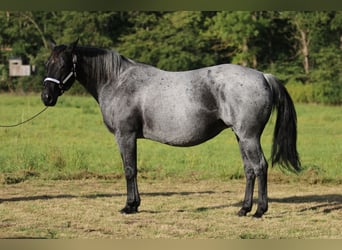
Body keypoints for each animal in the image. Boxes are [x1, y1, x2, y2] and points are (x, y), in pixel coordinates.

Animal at [42, 39, 300, 217]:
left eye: (64, 64)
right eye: (47, 63)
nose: (46, 97)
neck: (117, 81)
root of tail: (263, 76)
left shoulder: (125, 136)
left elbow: (129, 169)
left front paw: (129, 206)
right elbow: (132, 169)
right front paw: (135, 204)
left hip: (249, 136)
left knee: (260, 166)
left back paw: (259, 211)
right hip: (241, 137)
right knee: (249, 170)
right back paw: (244, 209)